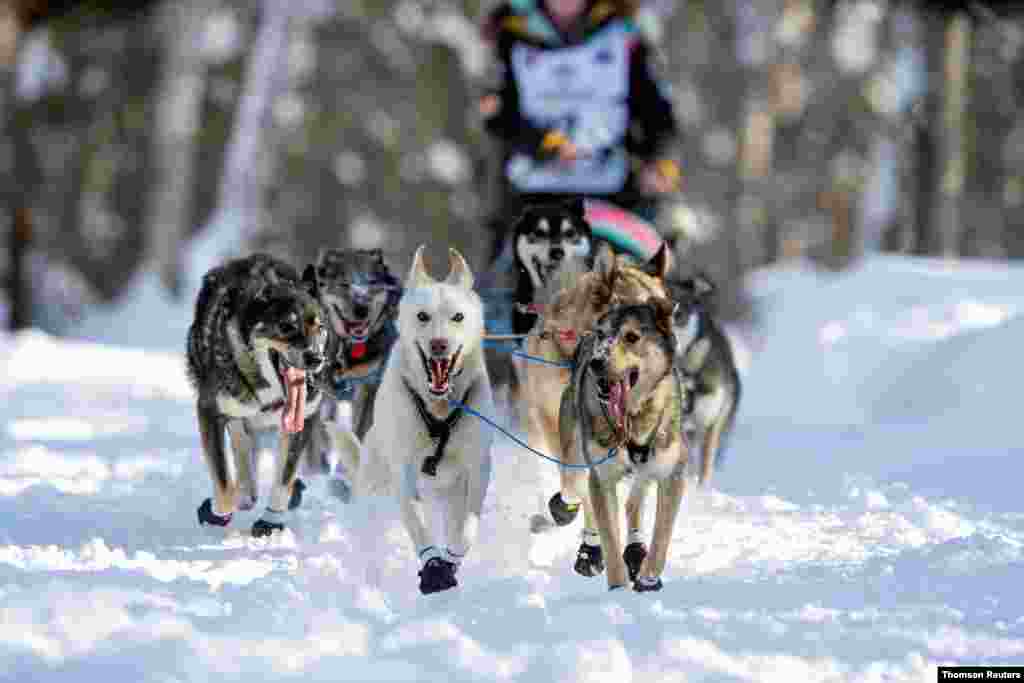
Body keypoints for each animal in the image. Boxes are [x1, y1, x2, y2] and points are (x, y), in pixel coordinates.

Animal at [184, 253, 327, 536]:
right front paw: (217, 513)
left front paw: (271, 520)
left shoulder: (303, 419)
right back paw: (244, 492)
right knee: (240, 441)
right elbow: (223, 482)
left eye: (319, 326)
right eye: (286, 326)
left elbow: (284, 479)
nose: (316, 358)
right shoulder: (210, 411)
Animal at [358, 245, 493, 593]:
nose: (439, 344)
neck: (438, 410)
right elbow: (418, 525)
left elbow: (467, 529)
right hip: (375, 490)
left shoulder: (478, 469)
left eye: (458, 317)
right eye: (422, 316)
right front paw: (433, 565)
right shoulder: (403, 471)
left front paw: (449, 561)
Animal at [561, 299, 688, 593]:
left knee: (633, 502)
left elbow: (662, 535)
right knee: (578, 491)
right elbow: (609, 535)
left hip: (646, 469)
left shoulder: (672, 472)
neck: (631, 418)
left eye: (631, 337)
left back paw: (635, 549)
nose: (597, 362)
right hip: (575, 462)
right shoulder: (602, 475)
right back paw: (590, 549)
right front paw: (618, 589)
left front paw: (648, 578)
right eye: (602, 334)